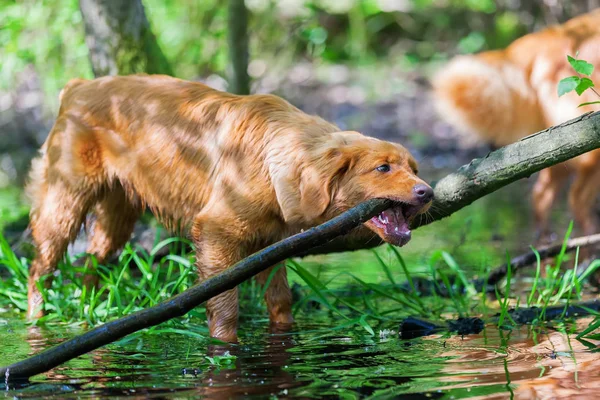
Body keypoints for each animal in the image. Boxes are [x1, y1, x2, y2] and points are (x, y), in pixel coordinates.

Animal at [25, 74, 434, 340]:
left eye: (414, 168)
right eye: (383, 168)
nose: (428, 193)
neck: (272, 161)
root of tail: (78, 87)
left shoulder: (272, 244)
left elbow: (280, 302)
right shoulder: (215, 232)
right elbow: (225, 307)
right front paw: (223, 348)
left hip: (117, 216)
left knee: (90, 263)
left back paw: (91, 313)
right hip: (64, 202)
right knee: (39, 268)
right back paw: (35, 320)